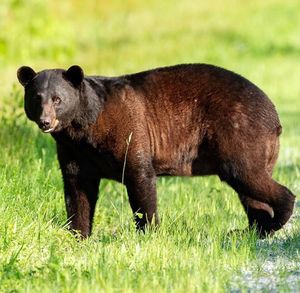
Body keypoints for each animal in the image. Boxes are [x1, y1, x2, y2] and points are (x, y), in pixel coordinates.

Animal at [17, 64, 296, 237]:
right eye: (36, 98)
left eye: (57, 99)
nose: (45, 121)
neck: (86, 127)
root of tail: (274, 116)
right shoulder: (73, 151)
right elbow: (77, 190)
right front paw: (78, 234)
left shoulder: (129, 130)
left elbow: (140, 178)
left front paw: (148, 231)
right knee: (250, 193)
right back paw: (253, 230)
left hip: (240, 134)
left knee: (248, 175)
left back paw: (274, 220)